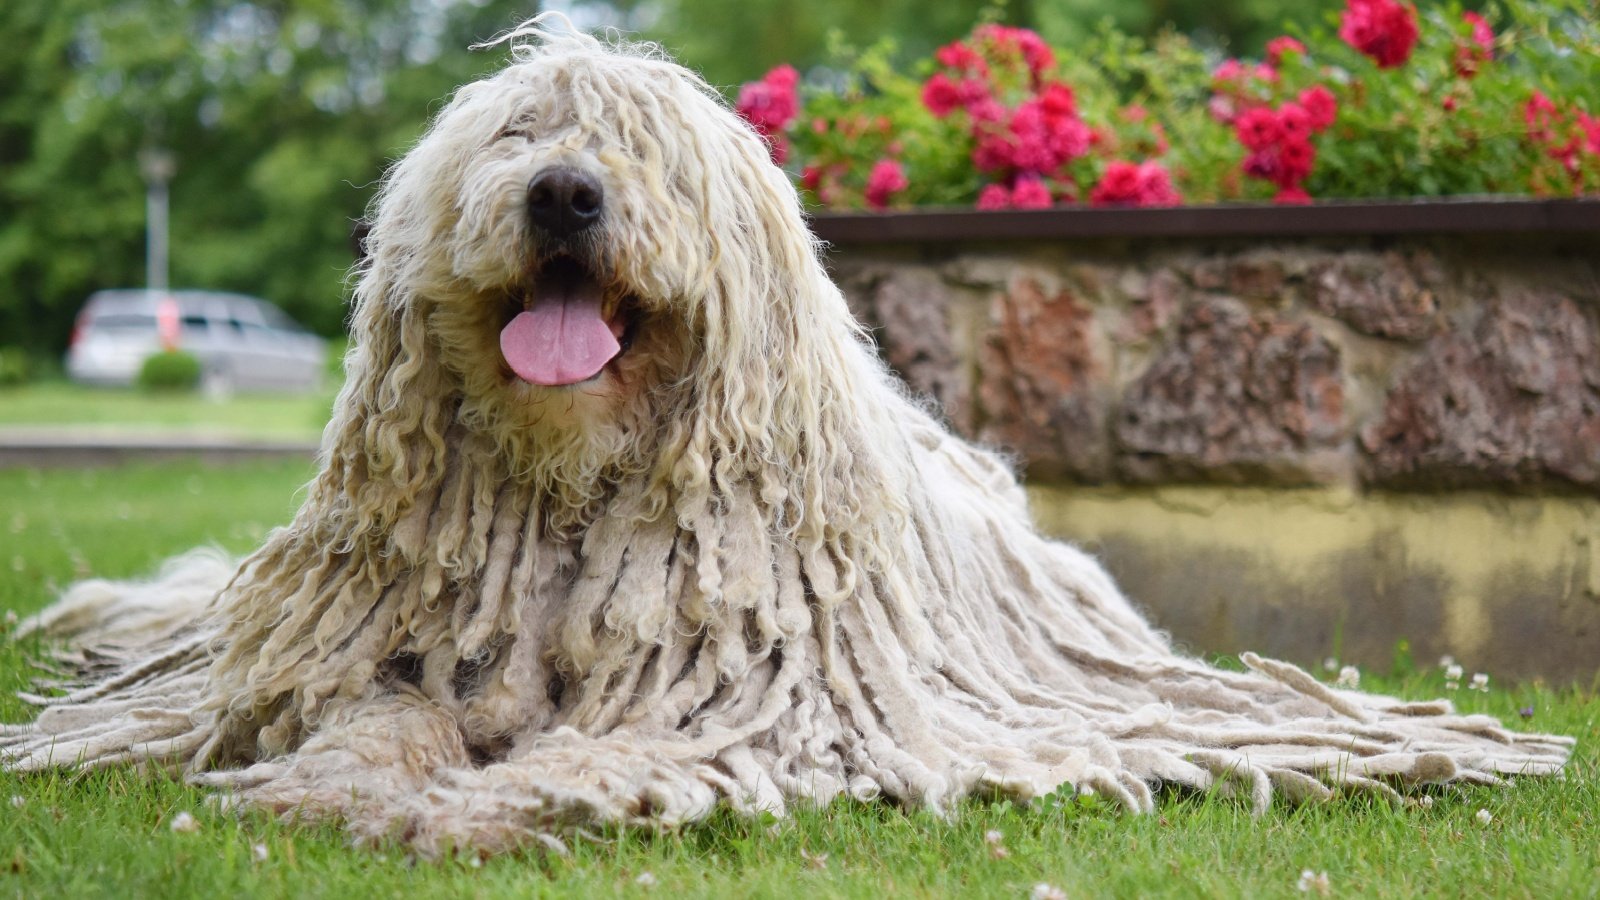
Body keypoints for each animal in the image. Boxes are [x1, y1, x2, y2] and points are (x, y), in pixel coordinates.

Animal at [0, 19, 1574, 845]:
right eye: (516, 139)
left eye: (643, 157)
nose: (565, 192)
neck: (574, 484)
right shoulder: (398, 652)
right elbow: (378, 713)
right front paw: (344, 782)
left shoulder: (752, 701)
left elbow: (614, 752)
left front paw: (494, 802)